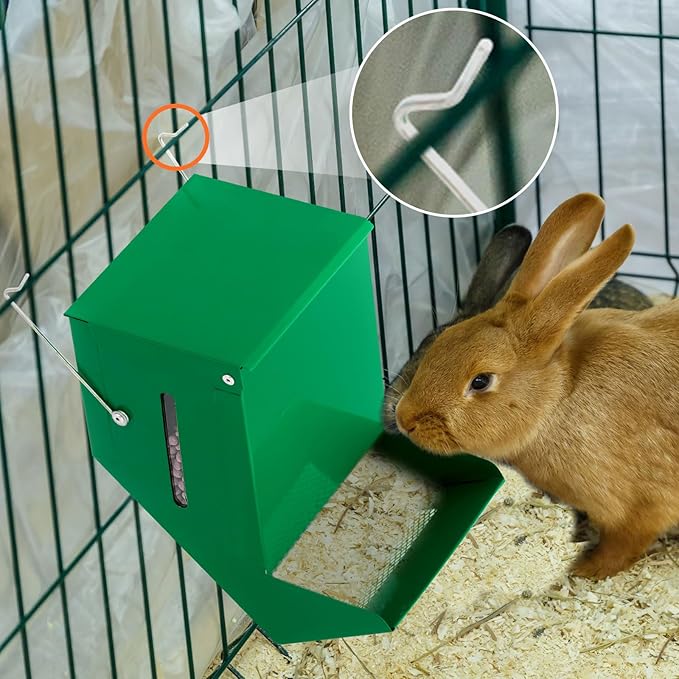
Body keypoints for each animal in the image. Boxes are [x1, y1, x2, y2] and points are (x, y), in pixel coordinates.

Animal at [393, 192, 679, 580]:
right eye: (439, 343)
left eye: (480, 381)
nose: (403, 418)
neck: (558, 398)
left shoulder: (639, 506)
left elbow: (622, 546)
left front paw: (583, 572)